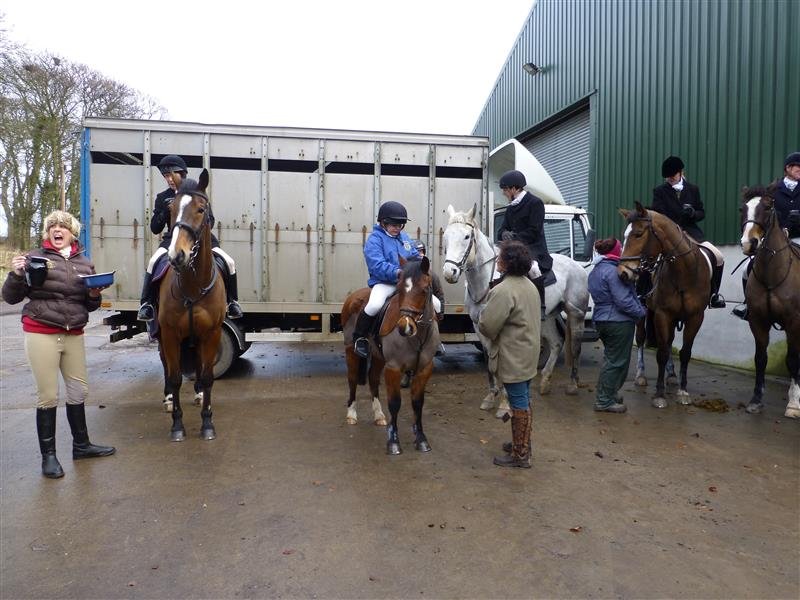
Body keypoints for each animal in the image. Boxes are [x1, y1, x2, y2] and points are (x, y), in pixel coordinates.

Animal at [158, 169, 227, 441]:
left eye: (201, 209)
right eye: (171, 208)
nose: (177, 255)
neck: (193, 285)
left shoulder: (211, 333)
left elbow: (207, 376)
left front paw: (207, 422)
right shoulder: (169, 334)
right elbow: (176, 377)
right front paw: (177, 425)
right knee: (166, 366)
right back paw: (168, 399)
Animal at [342, 257, 440, 454]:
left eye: (424, 290)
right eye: (400, 288)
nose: (405, 327)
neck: (418, 336)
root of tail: (353, 296)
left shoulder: (424, 369)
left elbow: (417, 403)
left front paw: (421, 439)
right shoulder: (393, 368)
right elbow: (395, 403)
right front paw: (393, 442)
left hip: (378, 357)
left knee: (372, 380)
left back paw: (379, 415)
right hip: (351, 352)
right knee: (352, 379)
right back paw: (352, 414)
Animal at [441, 205, 589, 416]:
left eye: (467, 237)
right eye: (446, 236)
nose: (449, 273)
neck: (487, 281)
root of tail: (577, 266)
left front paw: (505, 403)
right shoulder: (479, 326)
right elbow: (490, 361)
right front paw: (491, 396)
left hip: (576, 313)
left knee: (575, 346)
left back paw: (573, 385)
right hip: (548, 316)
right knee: (556, 343)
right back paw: (545, 381)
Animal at [618, 201, 713, 408]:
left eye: (638, 234)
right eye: (624, 235)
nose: (622, 273)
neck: (684, 273)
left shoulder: (695, 317)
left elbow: (685, 352)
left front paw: (683, 391)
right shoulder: (663, 314)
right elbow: (661, 352)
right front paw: (659, 394)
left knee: (669, 342)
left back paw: (671, 375)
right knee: (642, 338)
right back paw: (641, 375)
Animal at [739, 187, 800, 418]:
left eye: (767, 207)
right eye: (743, 209)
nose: (749, 244)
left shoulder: (794, 322)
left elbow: (793, 360)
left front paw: (794, 404)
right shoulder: (758, 320)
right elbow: (760, 358)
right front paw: (756, 400)